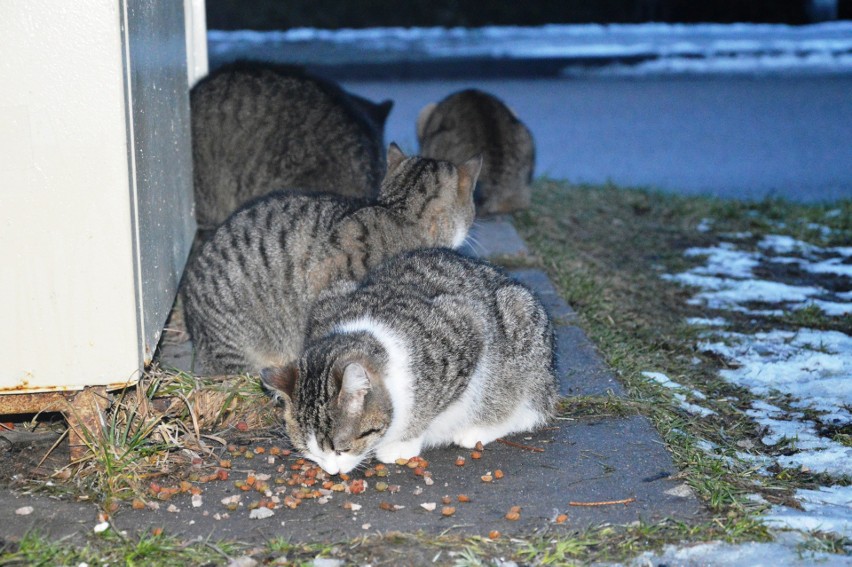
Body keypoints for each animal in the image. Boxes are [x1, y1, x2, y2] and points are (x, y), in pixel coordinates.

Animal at [262, 248, 564, 474]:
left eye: (342, 449)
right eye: (308, 451)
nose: (332, 471)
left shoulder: (467, 327)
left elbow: (429, 408)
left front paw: (404, 441)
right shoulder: (330, 297)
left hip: (521, 330)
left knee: (525, 410)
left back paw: (478, 428)